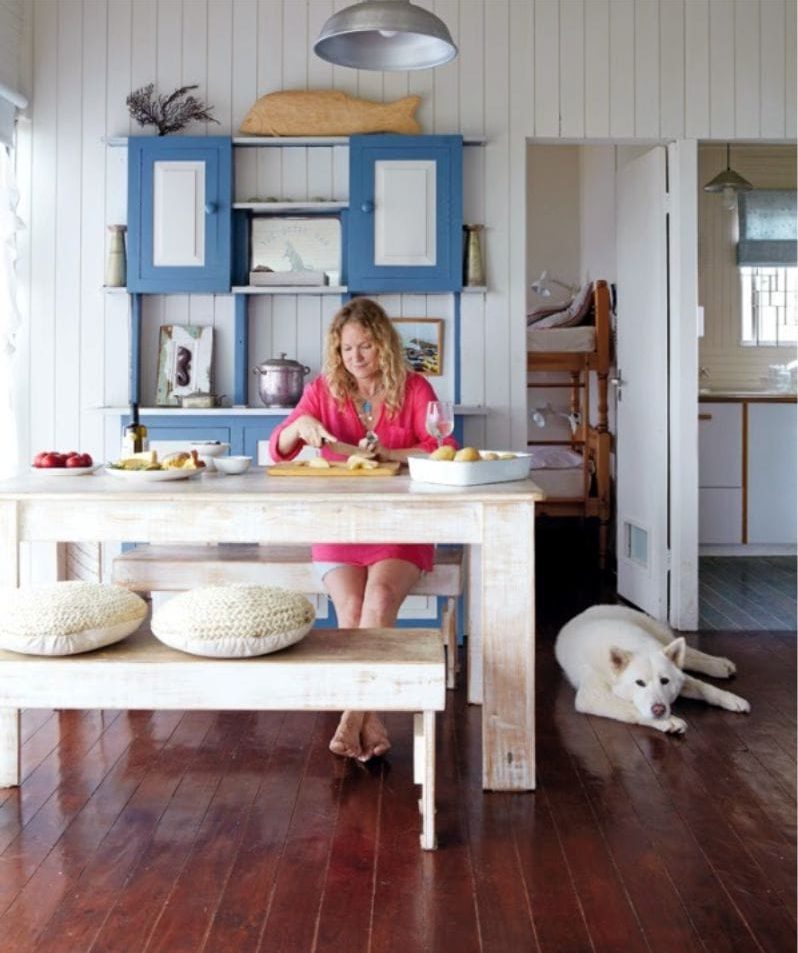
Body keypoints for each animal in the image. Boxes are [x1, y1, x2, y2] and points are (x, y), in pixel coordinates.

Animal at [552, 608, 752, 732]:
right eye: (639, 683)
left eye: (664, 681)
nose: (659, 710)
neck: (637, 648)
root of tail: (592, 609)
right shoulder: (592, 697)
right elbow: (630, 707)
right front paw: (668, 721)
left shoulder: (679, 677)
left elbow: (705, 688)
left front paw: (732, 699)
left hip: (662, 638)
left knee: (690, 655)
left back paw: (720, 664)